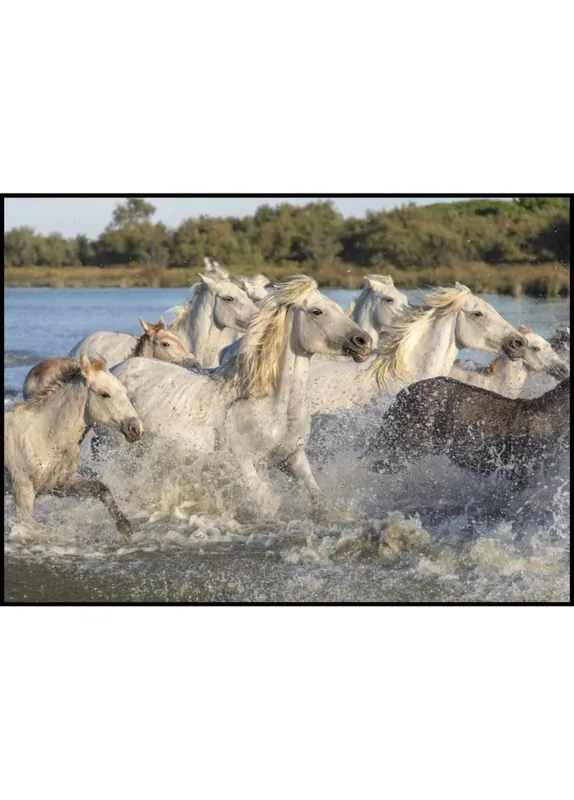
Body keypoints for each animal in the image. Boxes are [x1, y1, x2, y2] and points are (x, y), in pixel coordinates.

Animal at [4, 354, 143, 536]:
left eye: (124, 391)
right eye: (105, 394)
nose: (136, 428)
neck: (43, 436)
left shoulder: (63, 484)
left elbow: (102, 489)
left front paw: (124, 526)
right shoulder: (24, 491)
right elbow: (28, 527)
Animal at [111, 276, 373, 519]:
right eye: (316, 311)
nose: (364, 341)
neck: (271, 405)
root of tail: (115, 369)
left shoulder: (293, 457)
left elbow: (318, 498)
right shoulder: (243, 463)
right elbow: (266, 505)